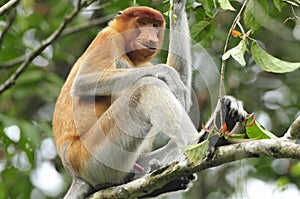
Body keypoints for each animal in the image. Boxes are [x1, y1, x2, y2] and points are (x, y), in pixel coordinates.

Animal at [52, 0, 247, 198]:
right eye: (142, 22)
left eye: (155, 25)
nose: (152, 37)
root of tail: (76, 174)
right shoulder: (108, 38)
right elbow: (84, 81)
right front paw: (166, 72)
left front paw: (177, 7)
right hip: (93, 158)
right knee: (145, 86)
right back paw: (201, 143)